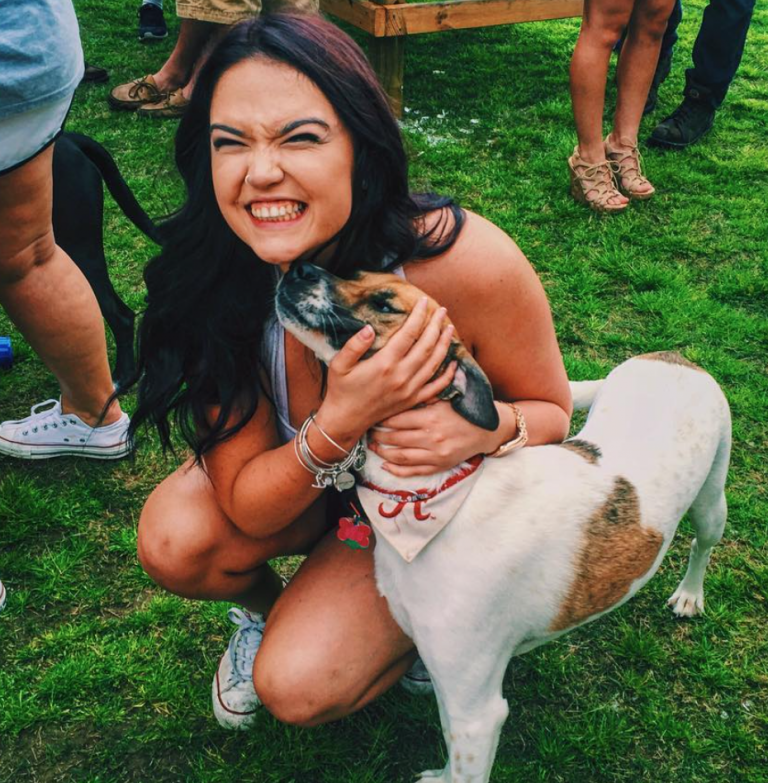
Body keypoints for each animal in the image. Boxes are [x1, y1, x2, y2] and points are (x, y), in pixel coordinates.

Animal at [275, 262, 732, 783]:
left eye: (385, 304)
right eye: (353, 272)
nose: (300, 267)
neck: (432, 497)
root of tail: (674, 358)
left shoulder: (477, 710)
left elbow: (465, 764)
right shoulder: (450, 688)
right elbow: (451, 752)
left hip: (712, 500)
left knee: (702, 544)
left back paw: (690, 594)